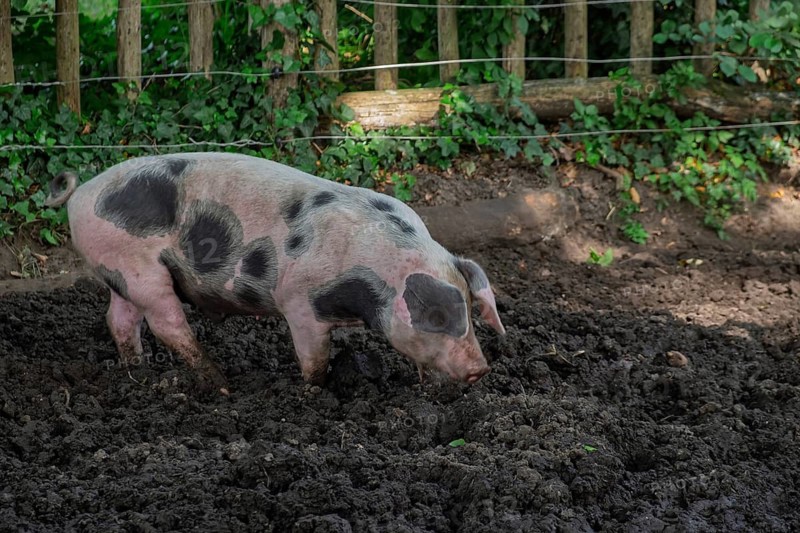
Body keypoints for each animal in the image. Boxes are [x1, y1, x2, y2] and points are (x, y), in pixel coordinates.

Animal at [45, 152, 506, 394]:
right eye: (437, 317)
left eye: (467, 312)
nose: (480, 368)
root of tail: (80, 194)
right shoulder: (298, 301)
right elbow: (313, 357)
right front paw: (313, 392)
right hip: (140, 269)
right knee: (167, 322)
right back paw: (221, 385)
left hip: (119, 270)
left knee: (120, 319)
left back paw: (137, 370)